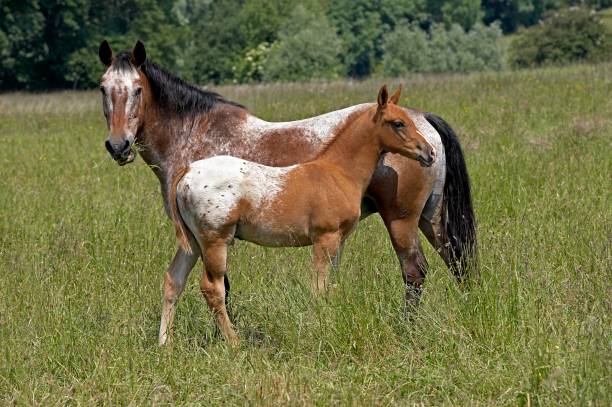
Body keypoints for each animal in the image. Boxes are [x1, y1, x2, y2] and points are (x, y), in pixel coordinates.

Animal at [169, 86, 436, 344]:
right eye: (398, 123)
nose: (430, 152)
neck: (338, 173)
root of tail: (188, 170)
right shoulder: (324, 238)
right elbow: (318, 288)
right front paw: (318, 329)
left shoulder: (339, 241)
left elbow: (329, 286)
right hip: (215, 241)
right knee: (212, 288)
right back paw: (234, 342)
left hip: (193, 243)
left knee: (173, 279)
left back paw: (166, 343)